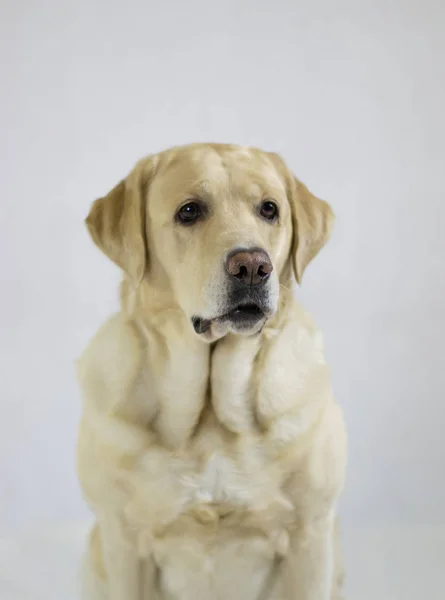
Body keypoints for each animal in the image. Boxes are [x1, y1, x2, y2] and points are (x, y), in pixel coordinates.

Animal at [76, 142, 346, 600]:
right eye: (189, 211)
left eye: (269, 209)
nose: (252, 266)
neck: (211, 412)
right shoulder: (122, 541)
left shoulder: (311, 537)